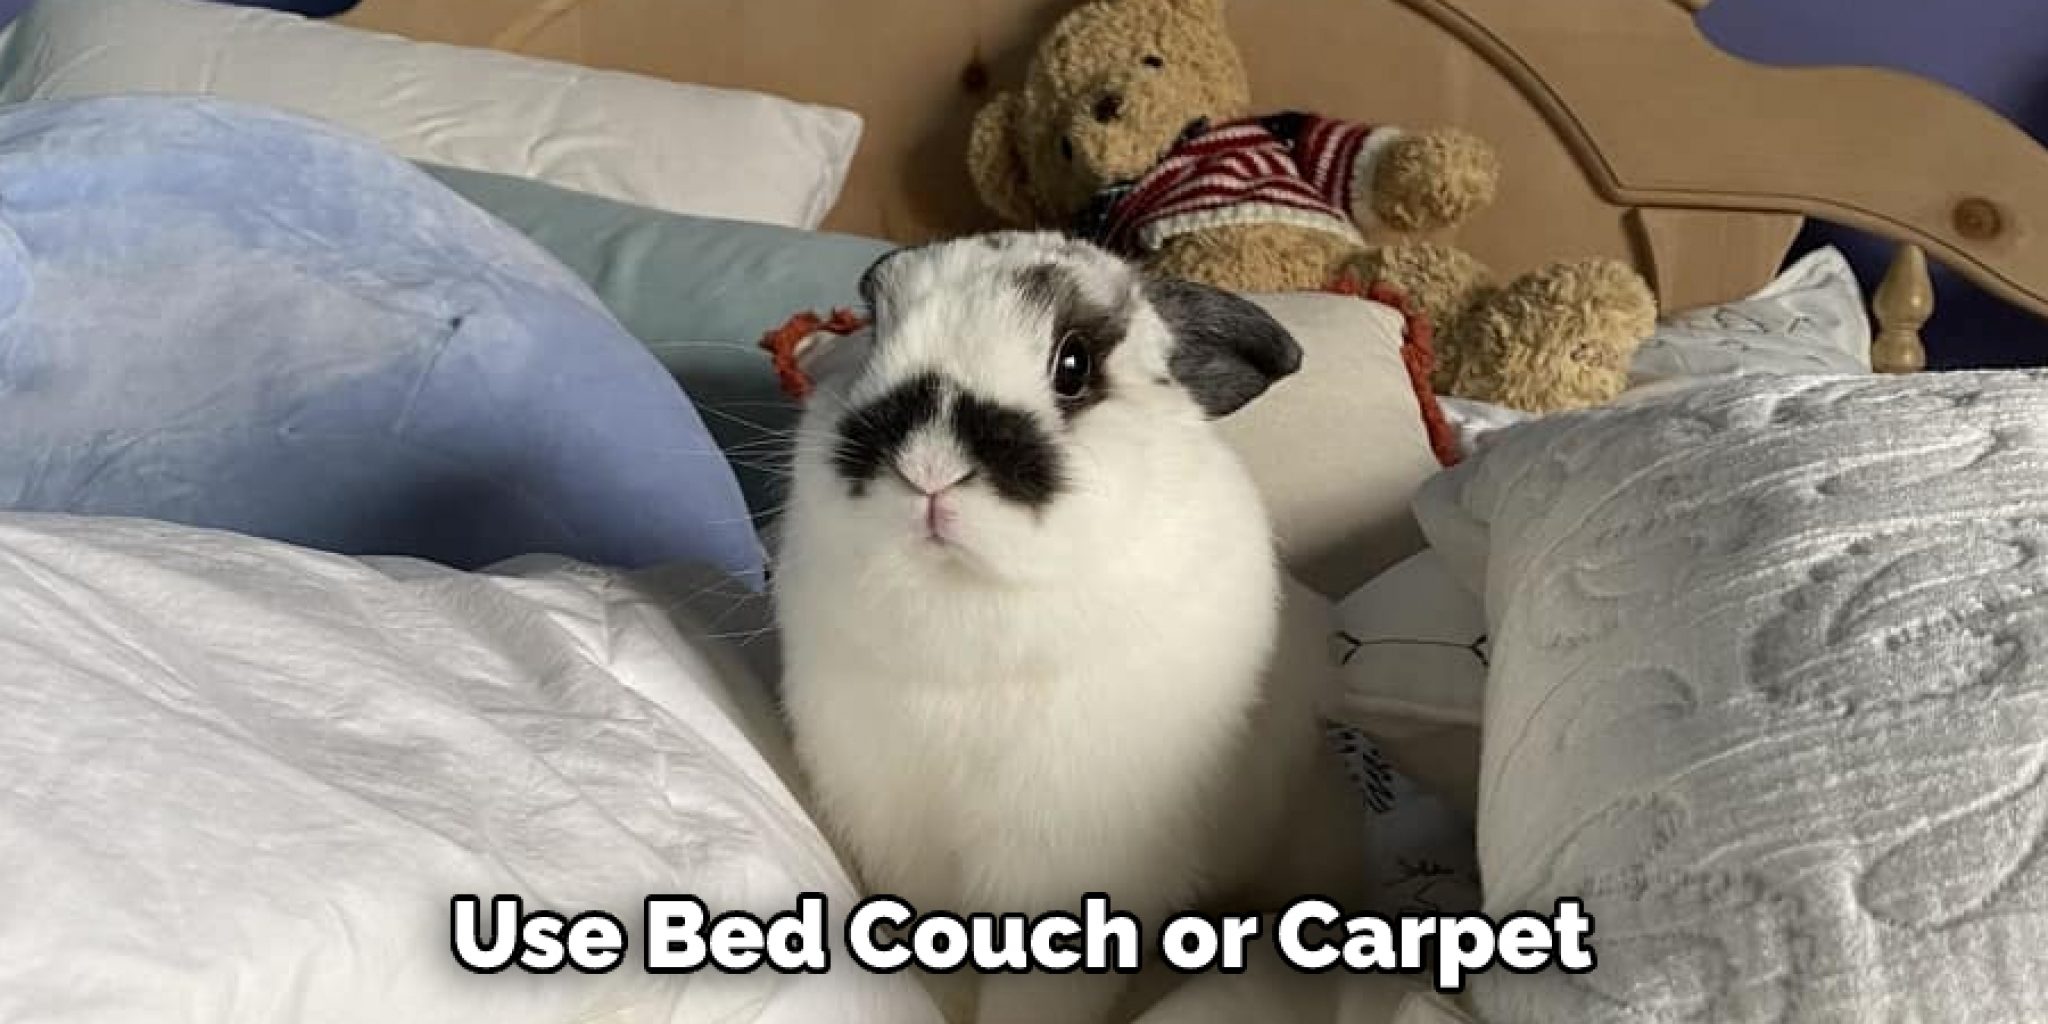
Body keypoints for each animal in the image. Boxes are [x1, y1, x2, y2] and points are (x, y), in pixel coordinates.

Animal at [774, 232, 1371, 1024]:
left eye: (1074, 365)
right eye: (875, 328)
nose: (927, 465)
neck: (968, 610)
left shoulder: (1068, 867)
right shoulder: (905, 838)